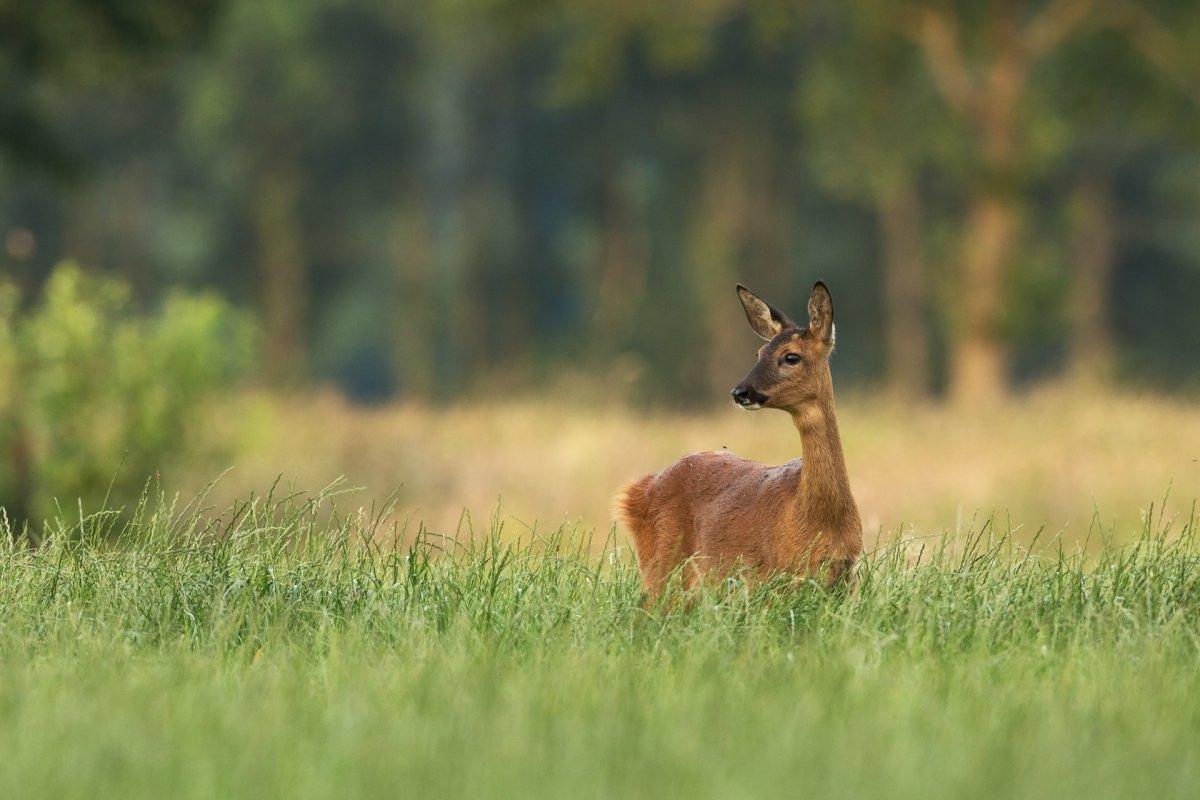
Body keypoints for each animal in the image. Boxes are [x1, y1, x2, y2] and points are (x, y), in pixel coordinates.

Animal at [614, 281, 859, 599]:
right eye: (759, 353)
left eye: (791, 356)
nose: (740, 392)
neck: (820, 518)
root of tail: (639, 489)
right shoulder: (775, 577)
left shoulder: (846, 576)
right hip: (663, 564)